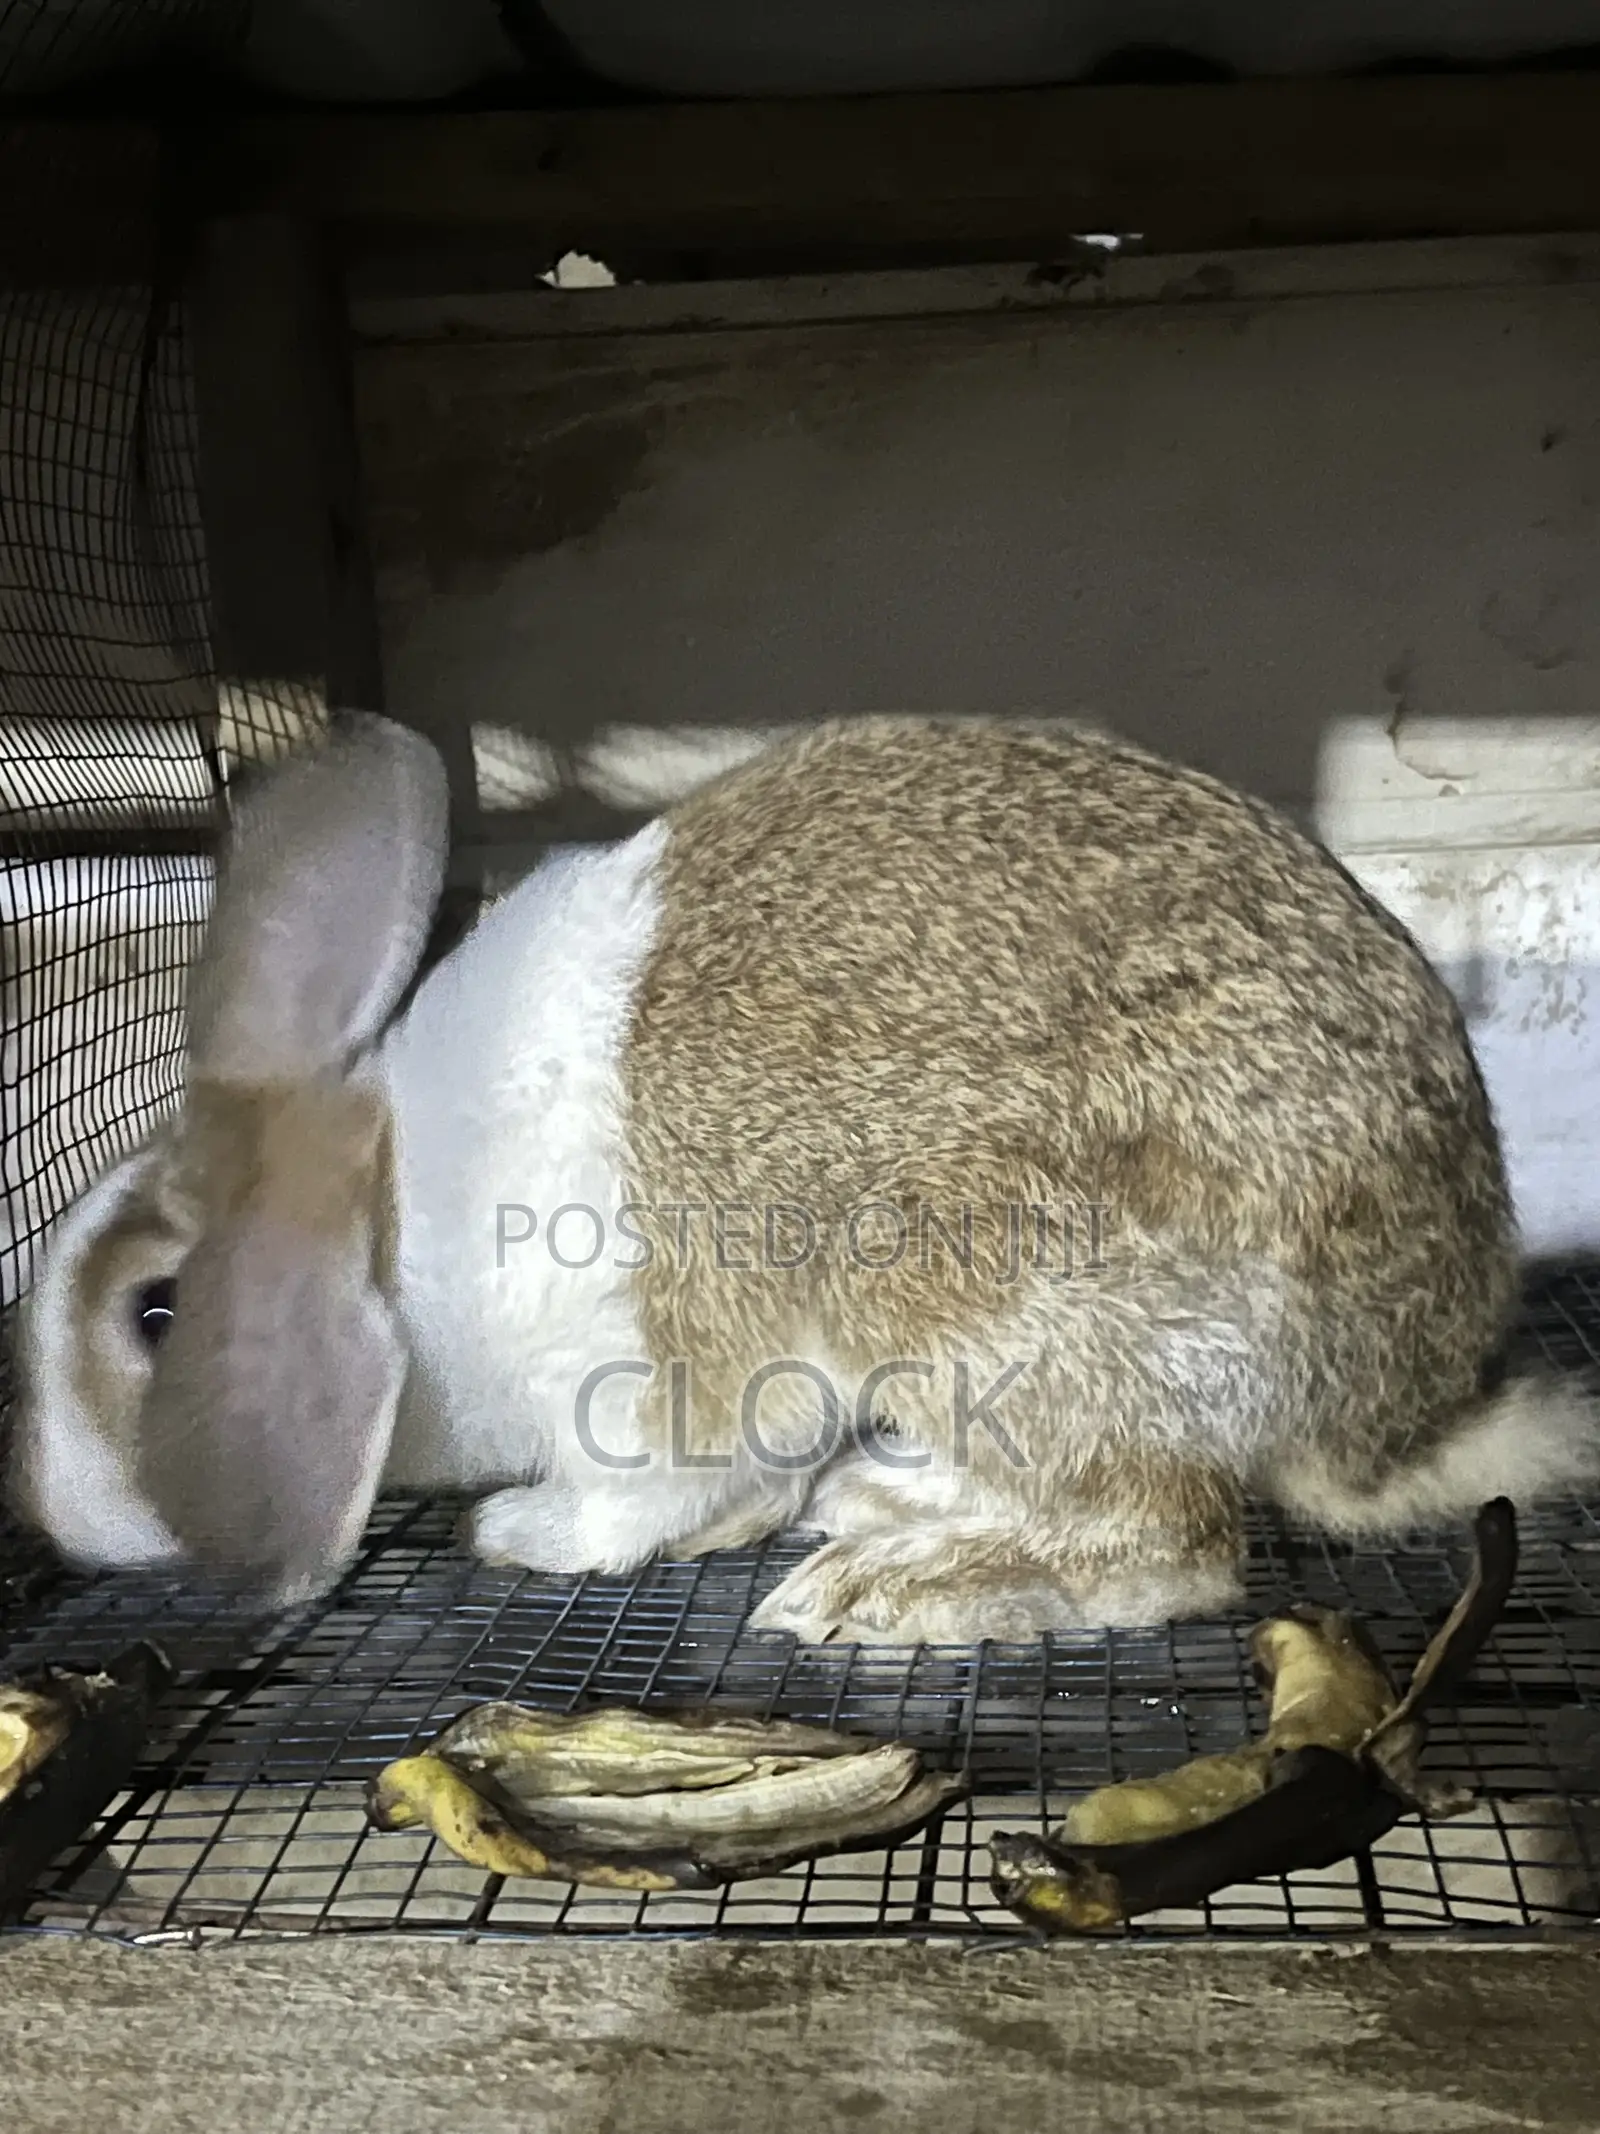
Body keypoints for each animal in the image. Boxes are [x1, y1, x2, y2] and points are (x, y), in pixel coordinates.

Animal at [9, 708, 1599, 1641]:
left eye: (155, 1313)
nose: (52, 1515)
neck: (387, 1235)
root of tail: (1394, 1417)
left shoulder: (645, 1388)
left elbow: (639, 1500)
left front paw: (521, 1537)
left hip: (984, 1293)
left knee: (1179, 1541)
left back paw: (895, 1587)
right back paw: (885, 1501)